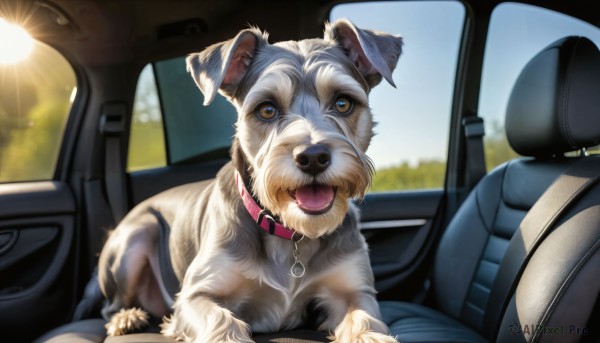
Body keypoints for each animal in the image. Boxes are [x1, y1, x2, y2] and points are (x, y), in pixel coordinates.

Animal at [99, 18, 404, 343]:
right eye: (267, 109)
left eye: (343, 103)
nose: (312, 157)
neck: (290, 233)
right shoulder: (196, 295)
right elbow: (222, 320)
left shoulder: (354, 292)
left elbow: (365, 321)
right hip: (135, 238)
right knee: (111, 305)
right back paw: (127, 318)